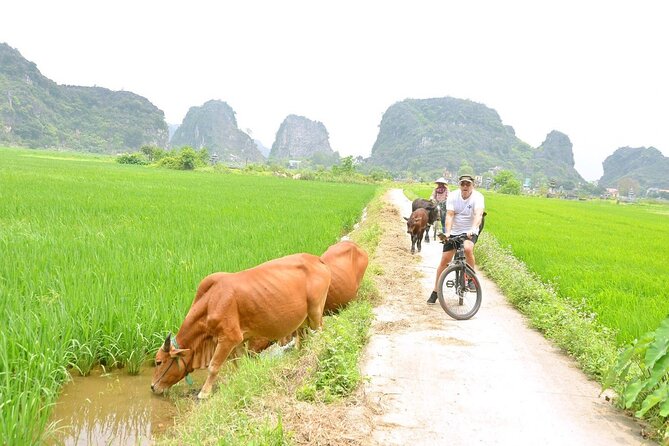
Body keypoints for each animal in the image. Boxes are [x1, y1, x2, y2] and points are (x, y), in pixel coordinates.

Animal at [150, 253, 330, 398]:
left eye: (158, 362)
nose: (152, 387)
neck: (210, 302)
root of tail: (317, 259)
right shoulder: (236, 342)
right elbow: (239, 364)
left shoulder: (228, 338)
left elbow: (214, 366)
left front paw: (204, 393)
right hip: (303, 320)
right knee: (303, 338)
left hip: (315, 312)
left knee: (321, 333)